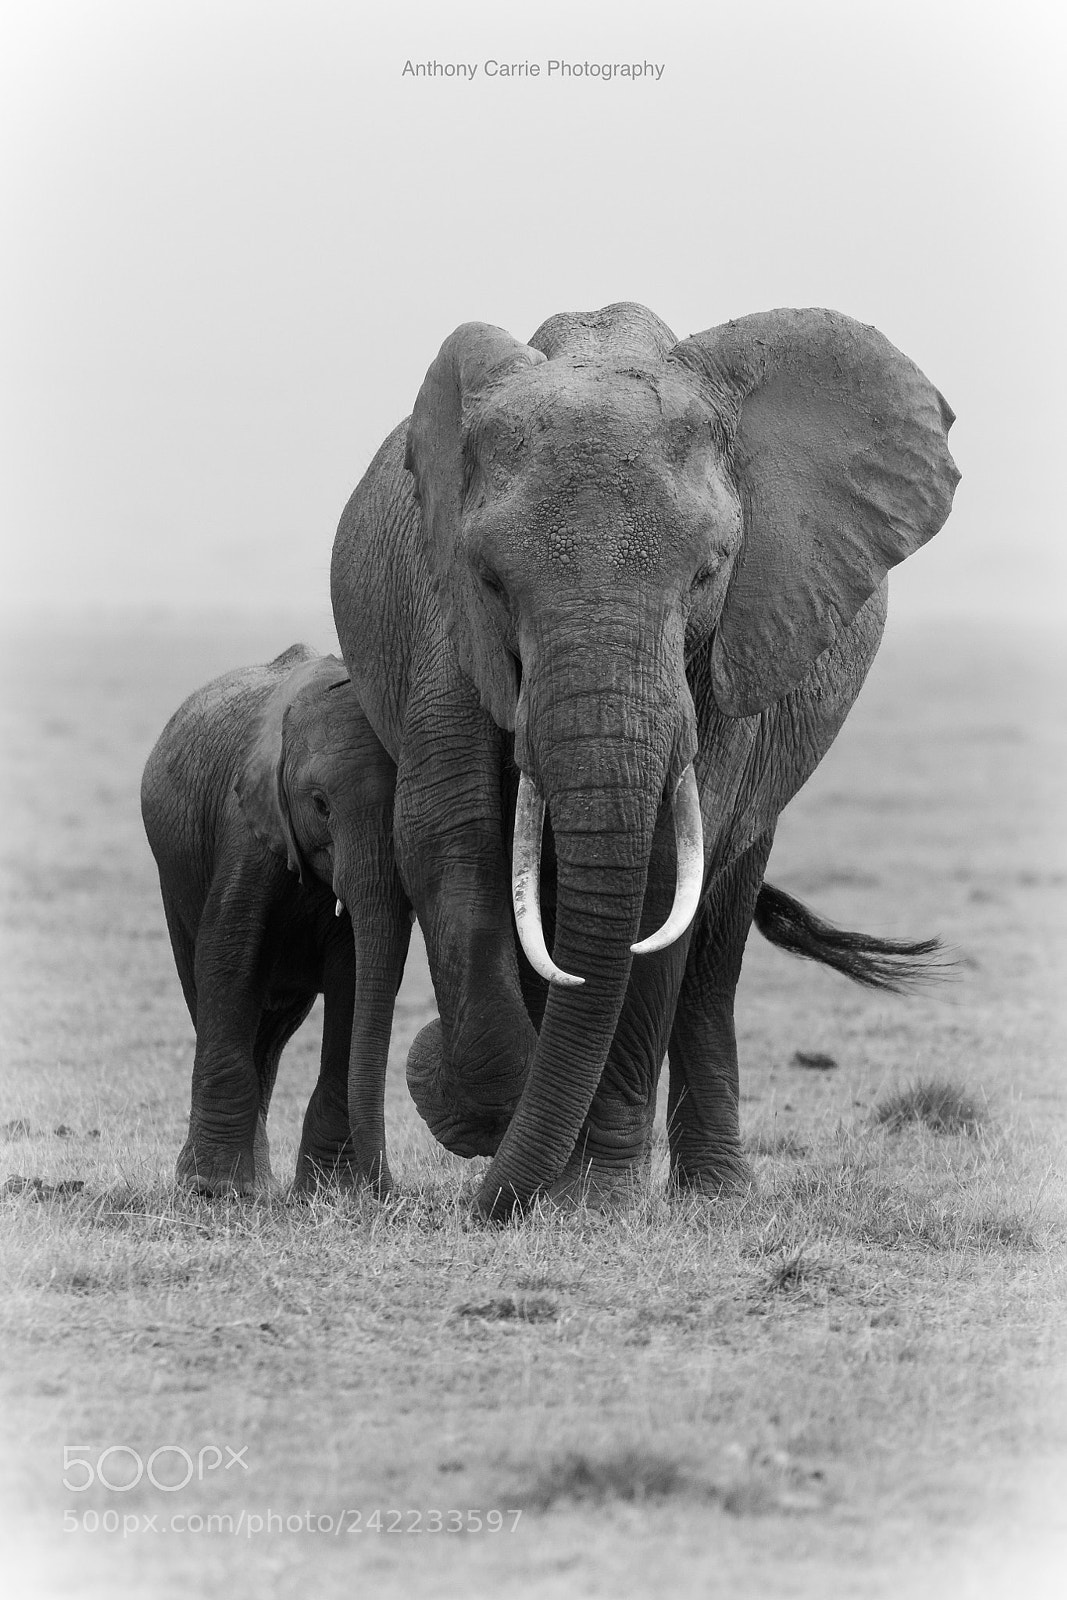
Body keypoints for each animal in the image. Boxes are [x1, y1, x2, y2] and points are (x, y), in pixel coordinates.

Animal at [141, 643, 412, 1196]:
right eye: (320, 804)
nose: (387, 1191)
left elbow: (355, 979)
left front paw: (332, 1191)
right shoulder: (246, 828)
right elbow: (228, 961)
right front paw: (212, 1189)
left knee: (273, 1028)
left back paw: (259, 1182)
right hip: (173, 878)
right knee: (213, 995)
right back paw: (237, 1185)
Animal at [330, 301, 959, 1219]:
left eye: (707, 573)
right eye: (490, 581)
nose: (492, 1200)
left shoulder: (736, 643)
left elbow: (663, 880)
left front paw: (592, 1197)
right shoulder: (445, 622)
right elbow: (448, 836)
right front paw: (484, 1114)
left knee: (717, 929)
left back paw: (716, 1195)